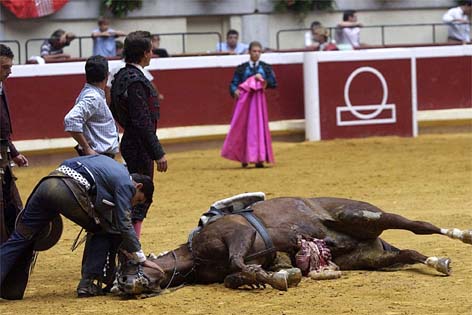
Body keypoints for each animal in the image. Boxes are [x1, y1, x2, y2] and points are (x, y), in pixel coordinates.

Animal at [111, 194, 472, 298]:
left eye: (126, 265)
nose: (124, 285)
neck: (194, 253)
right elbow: (235, 275)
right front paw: (269, 278)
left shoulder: (237, 235)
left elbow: (238, 263)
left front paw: (281, 279)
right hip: (371, 256)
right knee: (410, 253)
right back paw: (438, 262)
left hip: (365, 216)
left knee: (420, 227)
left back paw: (462, 235)